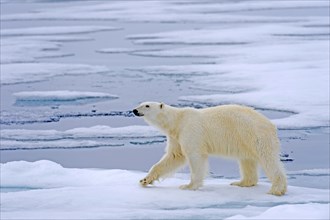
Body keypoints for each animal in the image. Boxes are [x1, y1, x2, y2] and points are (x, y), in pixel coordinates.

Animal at [133, 102, 288, 196]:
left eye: (147, 105)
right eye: (140, 103)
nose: (134, 110)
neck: (178, 120)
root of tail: (270, 125)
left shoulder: (191, 131)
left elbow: (195, 157)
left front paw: (188, 186)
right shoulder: (176, 136)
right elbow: (174, 156)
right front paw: (144, 180)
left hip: (255, 135)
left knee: (268, 159)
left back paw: (276, 189)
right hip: (244, 140)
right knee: (247, 160)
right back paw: (241, 182)